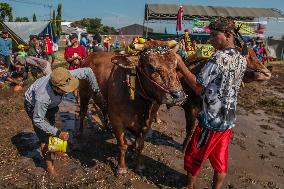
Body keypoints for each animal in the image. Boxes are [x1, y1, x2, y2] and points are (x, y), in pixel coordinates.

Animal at [79, 41, 187, 174]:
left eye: (176, 66)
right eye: (151, 67)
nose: (178, 95)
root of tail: (89, 57)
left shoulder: (147, 123)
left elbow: (139, 146)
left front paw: (138, 166)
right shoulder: (117, 120)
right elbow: (122, 144)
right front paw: (121, 167)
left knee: (103, 110)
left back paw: (106, 128)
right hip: (83, 93)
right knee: (82, 113)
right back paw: (80, 133)